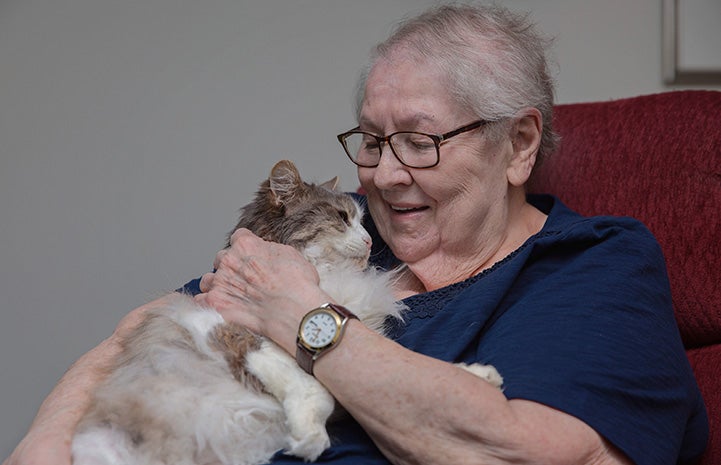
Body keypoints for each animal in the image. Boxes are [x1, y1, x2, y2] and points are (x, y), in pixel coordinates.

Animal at [71, 160, 500, 464]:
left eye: (363, 223)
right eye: (342, 218)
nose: (367, 241)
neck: (326, 277)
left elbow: (404, 365)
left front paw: (476, 375)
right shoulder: (239, 335)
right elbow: (314, 391)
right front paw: (308, 436)